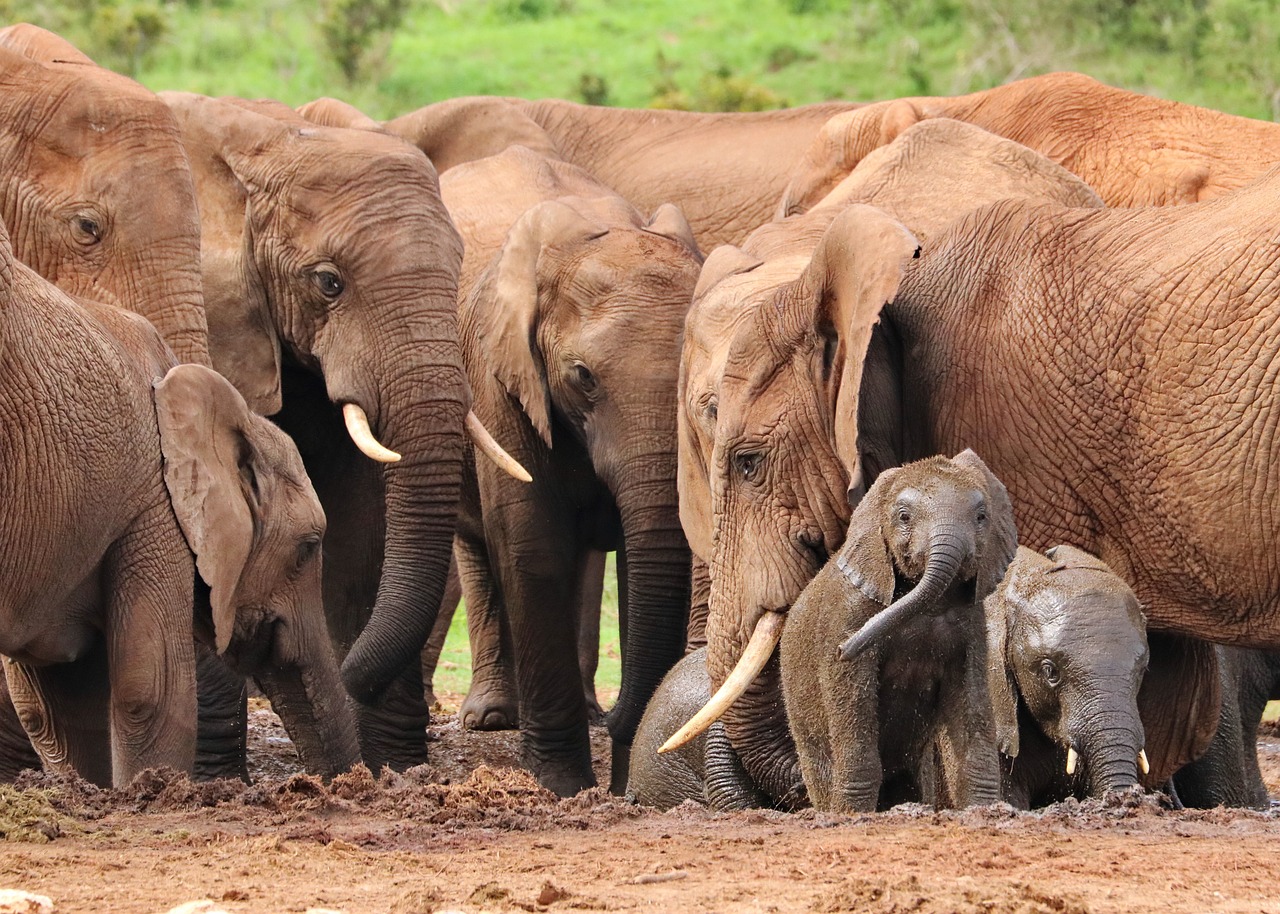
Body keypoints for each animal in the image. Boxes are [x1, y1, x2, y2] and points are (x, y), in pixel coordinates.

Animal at [161, 93, 525, 773]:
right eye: (329, 282)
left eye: (458, 271)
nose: (348, 670)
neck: (269, 141)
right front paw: (214, 778)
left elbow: (360, 523)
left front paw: (390, 768)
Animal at [440, 145, 703, 795]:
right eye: (582, 376)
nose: (621, 719)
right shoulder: (498, 376)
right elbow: (532, 546)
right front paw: (561, 785)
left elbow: (642, 561)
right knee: (478, 546)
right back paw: (491, 718)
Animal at [779, 450, 1014, 813]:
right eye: (903, 517)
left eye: (981, 516)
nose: (844, 649)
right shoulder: (847, 616)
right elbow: (855, 713)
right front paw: (851, 815)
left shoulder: (973, 630)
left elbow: (971, 714)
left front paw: (982, 810)